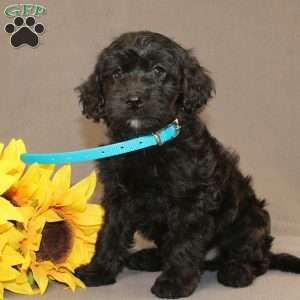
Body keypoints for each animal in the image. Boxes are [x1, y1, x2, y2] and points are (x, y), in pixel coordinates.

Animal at [75, 31, 300, 298]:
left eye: (159, 70)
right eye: (117, 73)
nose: (134, 99)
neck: (148, 142)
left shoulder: (191, 200)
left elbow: (183, 242)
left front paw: (175, 282)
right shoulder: (118, 197)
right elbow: (110, 234)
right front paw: (98, 270)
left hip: (250, 220)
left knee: (256, 259)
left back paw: (237, 272)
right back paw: (148, 257)